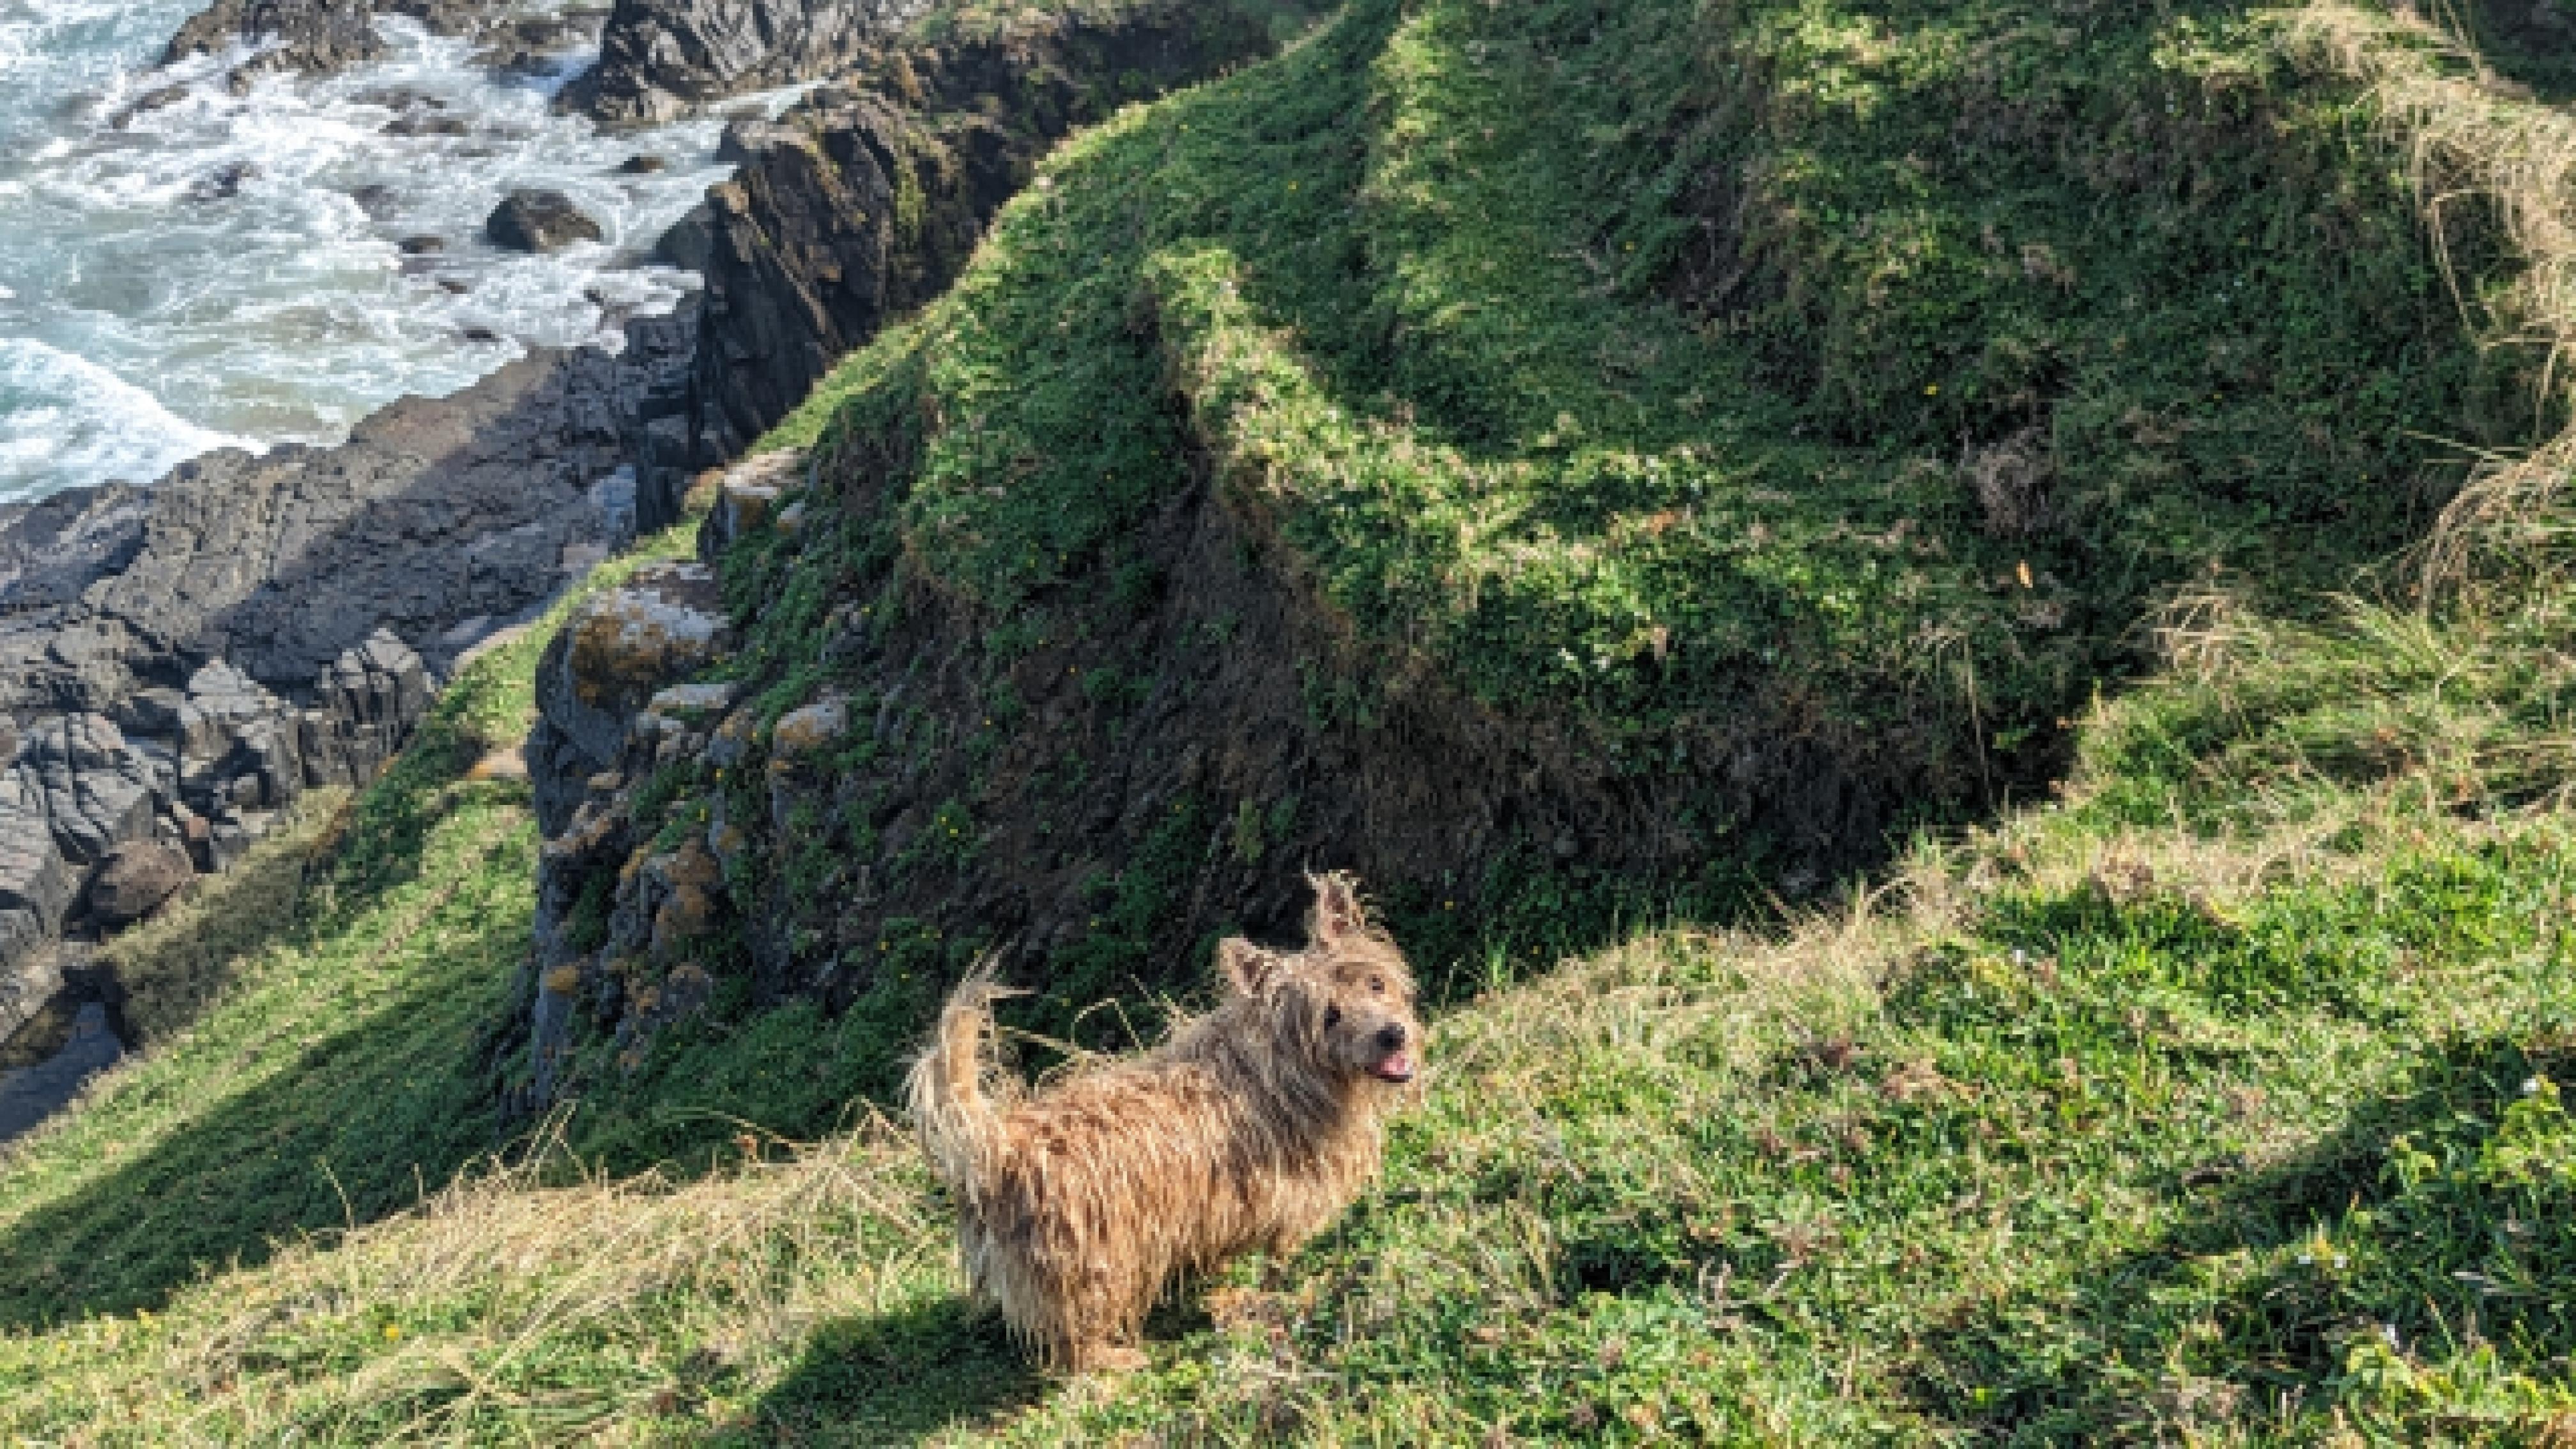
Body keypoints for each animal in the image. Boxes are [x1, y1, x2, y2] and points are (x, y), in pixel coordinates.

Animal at [912, 866, 1432, 1361]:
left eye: (1376, 983)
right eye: (1329, 1016)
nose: (1392, 1034)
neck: (1284, 1067)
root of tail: (1001, 1146)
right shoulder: (1291, 1204)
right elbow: (1278, 1262)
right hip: (1096, 1266)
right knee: (1072, 1347)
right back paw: (1114, 1362)